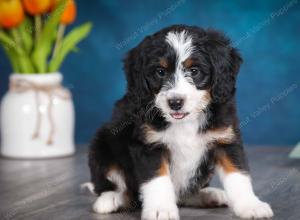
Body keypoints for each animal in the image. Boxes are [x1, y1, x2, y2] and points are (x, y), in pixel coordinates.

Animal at [84, 24, 274, 219]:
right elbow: (157, 180)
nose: (175, 102)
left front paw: (251, 205)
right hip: (102, 144)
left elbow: (237, 174)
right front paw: (160, 210)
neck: (186, 121)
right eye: (160, 72)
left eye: (194, 71)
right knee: (119, 188)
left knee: (183, 195)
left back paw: (209, 195)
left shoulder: (225, 139)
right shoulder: (149, 145)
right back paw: (111, 199)